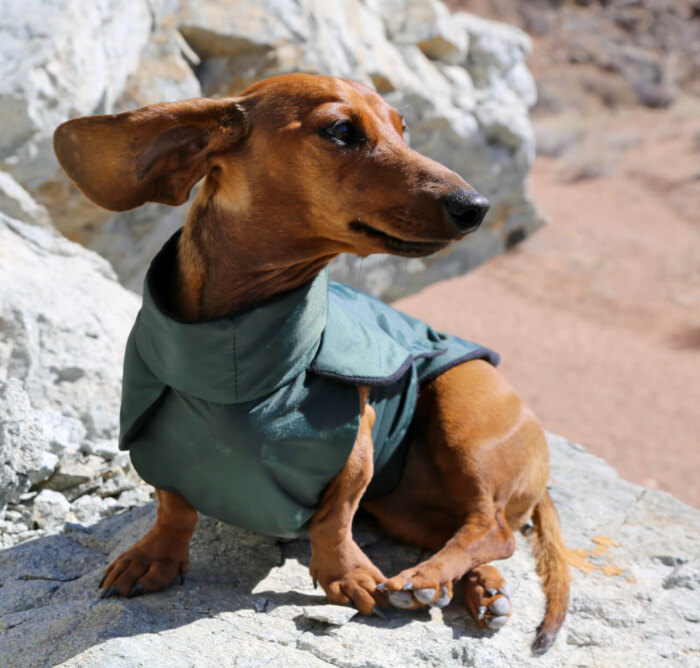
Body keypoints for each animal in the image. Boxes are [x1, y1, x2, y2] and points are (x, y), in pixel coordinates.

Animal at [53, 72, 568, 652]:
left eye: (403, 129)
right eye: (342, 130)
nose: (476, 205)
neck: (239, 349)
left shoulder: (357, 440)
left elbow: (334, 518)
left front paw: (347, 574)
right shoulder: (154, 440)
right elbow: (174, 506)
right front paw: (154, 557)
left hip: (465, 418)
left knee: (492, 527)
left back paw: (425, 578)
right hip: (408, 509)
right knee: (477, 532)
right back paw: (478, 589)